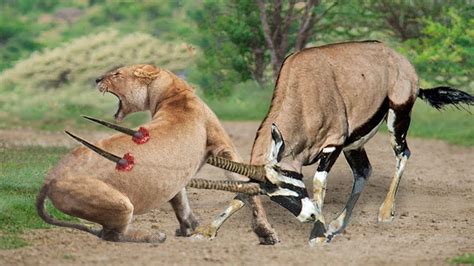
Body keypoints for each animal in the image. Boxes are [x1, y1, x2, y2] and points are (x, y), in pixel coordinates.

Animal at [194, 40, 472, 245]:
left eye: (291, 185)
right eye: (270, 195)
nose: (308, 216)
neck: (303, 93)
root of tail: (400, 60)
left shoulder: (332, 146)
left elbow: (319, 183)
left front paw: (318, 234)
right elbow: (242, 192)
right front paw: (207, 230)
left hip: (397, 118)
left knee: (402, 154)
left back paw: (384, 213)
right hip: (355, 144)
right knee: (364, 170)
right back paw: (338, 223)